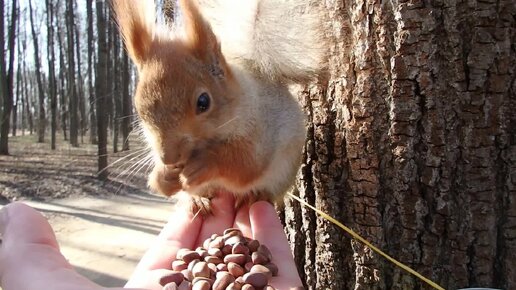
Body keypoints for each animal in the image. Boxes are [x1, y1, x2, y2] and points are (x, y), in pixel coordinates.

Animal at [113, 0, 326, 213]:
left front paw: (205, 164)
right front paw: (164, 175)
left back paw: (255, 195)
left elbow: (248, 164)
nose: (169, 158)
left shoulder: (262, 129)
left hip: (284, 172)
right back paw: (197, 199)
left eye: (203, 102)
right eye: (139, 109)